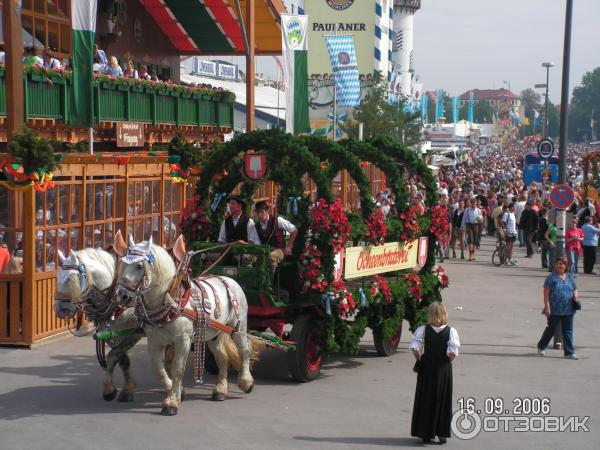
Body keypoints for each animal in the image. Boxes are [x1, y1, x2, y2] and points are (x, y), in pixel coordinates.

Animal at [54, 239, 143, 400]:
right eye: (57, 277)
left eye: (71, 278)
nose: (60, 309)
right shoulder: (113, 333)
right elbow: (122, 359)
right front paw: (127, 389)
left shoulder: (136, 330)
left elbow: (113, 355)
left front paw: (110, 390)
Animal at [116, 236, 256, 414]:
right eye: (122, 264)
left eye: (139, 266)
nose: (122, 296)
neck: (170, 300)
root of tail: (228, 278)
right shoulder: (154, 340)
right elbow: (158, 370)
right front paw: (175, 391)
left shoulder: (183, 340)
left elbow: (177, 369)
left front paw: (171, 403)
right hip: (214, 334)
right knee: (222, 357)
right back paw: (220, 390)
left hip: (238, 327)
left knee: (244, 350)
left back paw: (246, 382)